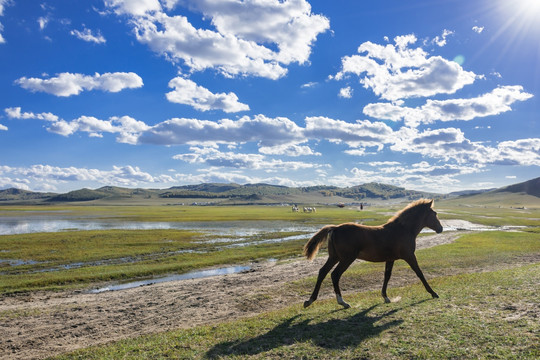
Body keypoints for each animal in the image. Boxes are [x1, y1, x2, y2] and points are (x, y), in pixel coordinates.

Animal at [302, 198, 440, 308]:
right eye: (435, 214)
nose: (441, 228)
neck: (403, 230)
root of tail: (335, 228)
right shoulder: (409, 256)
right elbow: (419, 273)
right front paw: (433, 293)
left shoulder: (390, 259)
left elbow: (387, 276)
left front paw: (385, 297)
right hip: (346, 258)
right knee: (335, 274)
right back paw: (342, 302)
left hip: (334, 257)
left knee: (322, 272)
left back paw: (310, 300)